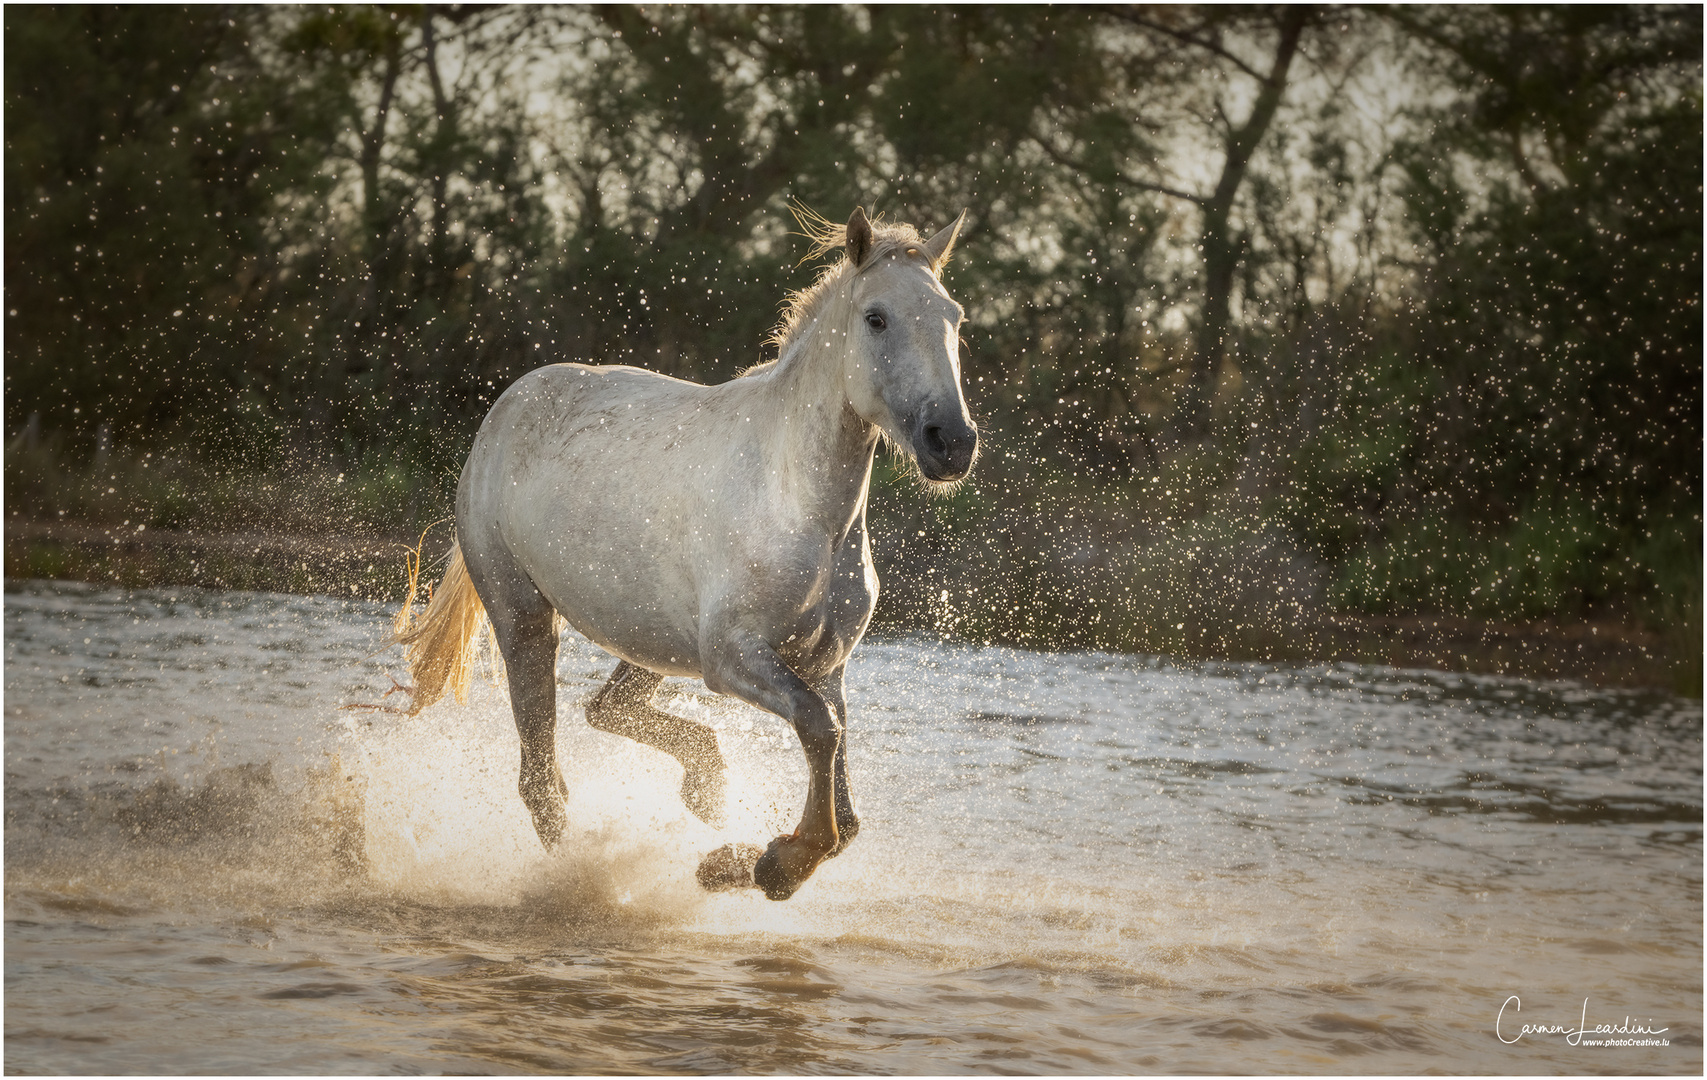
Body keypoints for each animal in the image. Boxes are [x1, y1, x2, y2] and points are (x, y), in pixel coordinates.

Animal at [390, 206, 976, 894]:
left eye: (955, 317)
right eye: (876, 317)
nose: (951, 441)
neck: (801, 507)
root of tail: (503, 411)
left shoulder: (824, 667)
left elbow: (844, 802)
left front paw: (737, 862)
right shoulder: (733, 655)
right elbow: (818, 732)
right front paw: (777, 863)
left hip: (654, 641)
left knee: (605, 709)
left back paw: (707, 785)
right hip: (525, 617)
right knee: (541, 780)